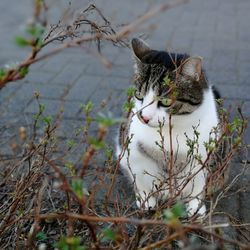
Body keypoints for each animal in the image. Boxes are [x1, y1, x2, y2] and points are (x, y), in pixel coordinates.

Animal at [116, 38, 220, 216]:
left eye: (165, 101)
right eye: (139, 95)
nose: (144, 117)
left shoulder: (203, 155)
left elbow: (197, 182)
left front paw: (195, 206)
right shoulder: (134, 151)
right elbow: (141, 178)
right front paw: (146, 200)